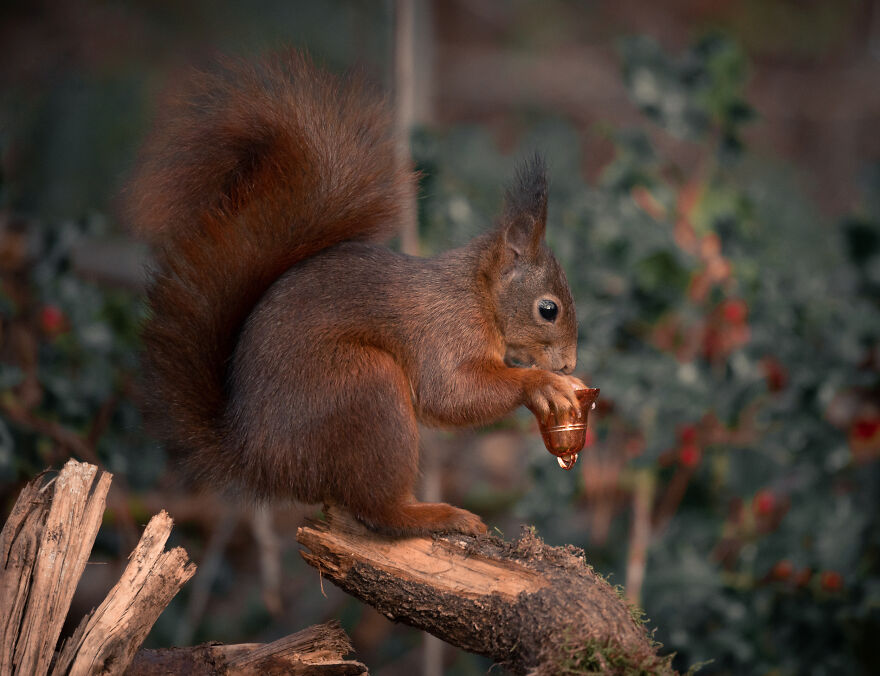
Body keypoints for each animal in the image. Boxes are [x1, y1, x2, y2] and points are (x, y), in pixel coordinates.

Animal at [128, 51, 584, 537]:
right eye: (548, 309)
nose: (569, 364)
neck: (477, 295)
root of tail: (257, 458)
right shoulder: (443, 331)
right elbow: (452, 393)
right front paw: (542, 384)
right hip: (367, 388)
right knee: (378, 508)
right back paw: (433, 514)